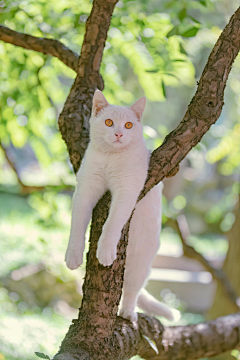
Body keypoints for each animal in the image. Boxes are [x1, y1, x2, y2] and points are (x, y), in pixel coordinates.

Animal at [65, 91, 178, 322]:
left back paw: (127, 313)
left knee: (132, 291)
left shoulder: (126, 192)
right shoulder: (85, 190)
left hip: (141, 264)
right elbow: (77, 225)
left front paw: (105, 251)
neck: (111, 158)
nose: (118, 134)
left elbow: (112, 223)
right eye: (109, 122)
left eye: (128, 125)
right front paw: (73, 255)